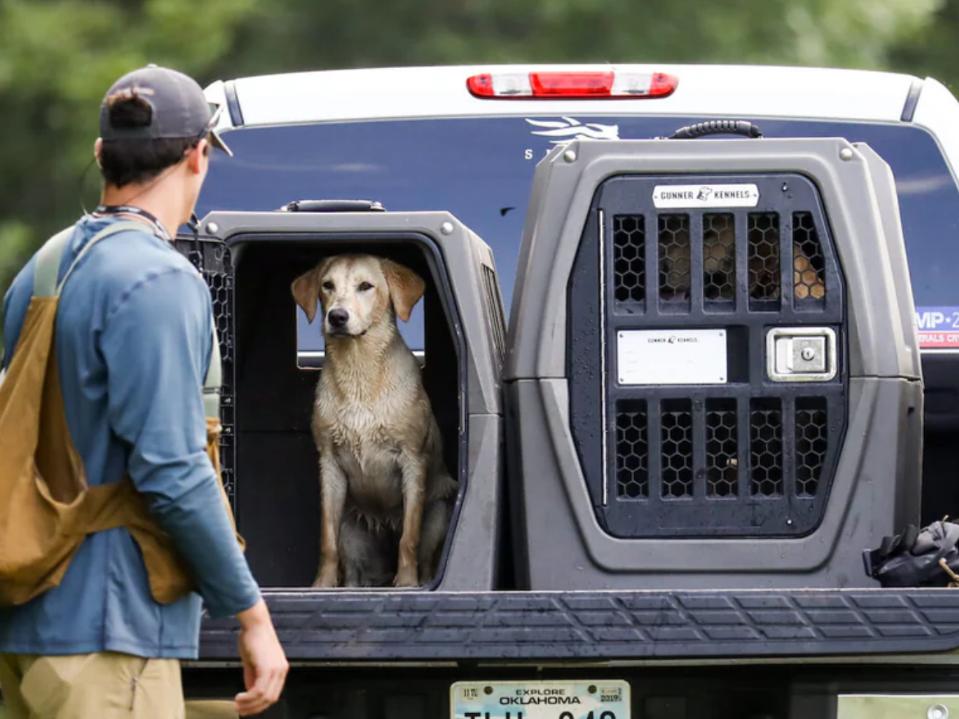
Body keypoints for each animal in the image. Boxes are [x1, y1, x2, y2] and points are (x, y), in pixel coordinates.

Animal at [290, 256, 456, 588]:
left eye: (366, 286)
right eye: (327, 285)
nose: (337, 317)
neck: (359, 371)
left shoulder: (412, 461)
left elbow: (409, 538)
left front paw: (407, 583)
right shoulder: (330, 466)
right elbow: (326, 541)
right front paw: (322, 585)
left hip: (438, 514)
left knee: (426, 561)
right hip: (352, 531)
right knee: (354, 576)